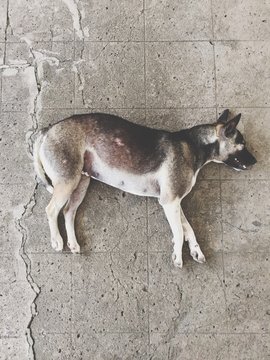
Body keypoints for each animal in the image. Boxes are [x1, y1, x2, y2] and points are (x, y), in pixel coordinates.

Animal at [32, 109, 256, 268]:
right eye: (242, 143)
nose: (256, 161)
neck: (195, 145)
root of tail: (47, 130)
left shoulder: (174, 202)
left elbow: (187, 228)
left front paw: (195, 250)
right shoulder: (170, 202)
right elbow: (179, 231)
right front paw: (178, 256)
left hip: (80, 183)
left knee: (68, 212)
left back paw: (73, 243)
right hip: (67, 181)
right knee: (51, 210)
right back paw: (57, 240)